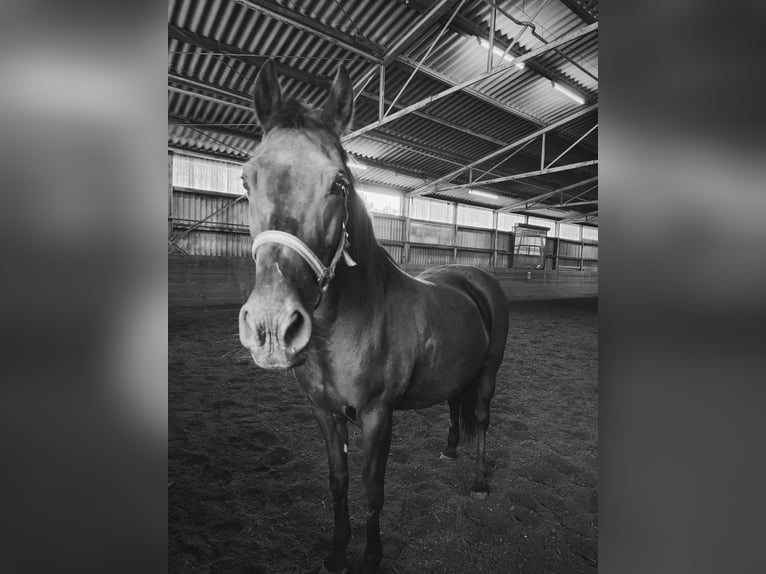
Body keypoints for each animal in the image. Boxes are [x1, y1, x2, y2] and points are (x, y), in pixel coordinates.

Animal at [238, 60, 510, 574]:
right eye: (247, 179)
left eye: (339, 184)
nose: (272, 328)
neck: (342, 330)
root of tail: (476, 277)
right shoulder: (324, 413)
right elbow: (339, 482)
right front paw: (336, 551)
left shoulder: (377, 415)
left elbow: (372, 488)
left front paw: (370, 555)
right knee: (454, 405)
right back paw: (450, 449)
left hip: (488, 372)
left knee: (482, 418)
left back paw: (482, 481)